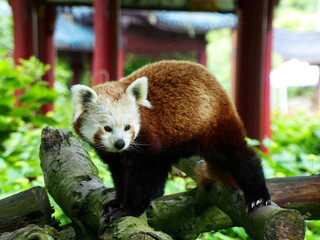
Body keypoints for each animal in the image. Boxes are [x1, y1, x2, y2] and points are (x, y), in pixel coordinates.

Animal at [72, 61, 270, 222]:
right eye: (107, 128)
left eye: (128, 127)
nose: (120, 143)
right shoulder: (115, 156)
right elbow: (119, 174)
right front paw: (117, 201)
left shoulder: (146, 140)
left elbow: (140, 177)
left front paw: (128, 209)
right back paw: (155, 193)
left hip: (214, 124)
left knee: (239, 155)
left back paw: (258, 196)